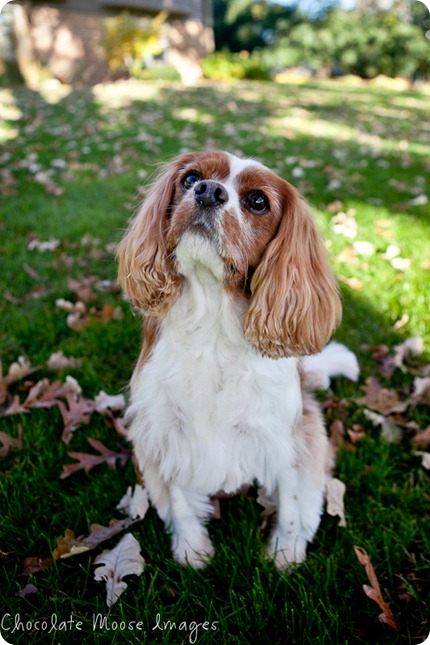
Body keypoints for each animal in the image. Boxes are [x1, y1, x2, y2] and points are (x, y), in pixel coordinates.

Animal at [116, 152, 354, 568]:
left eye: (258, 201)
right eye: (190, 178)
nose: (208, 191)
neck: (212, 315)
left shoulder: (286, 438)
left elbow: (291, 504)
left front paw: (284, 556)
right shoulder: (166, 430)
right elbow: (179, 498)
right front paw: (192, 550)